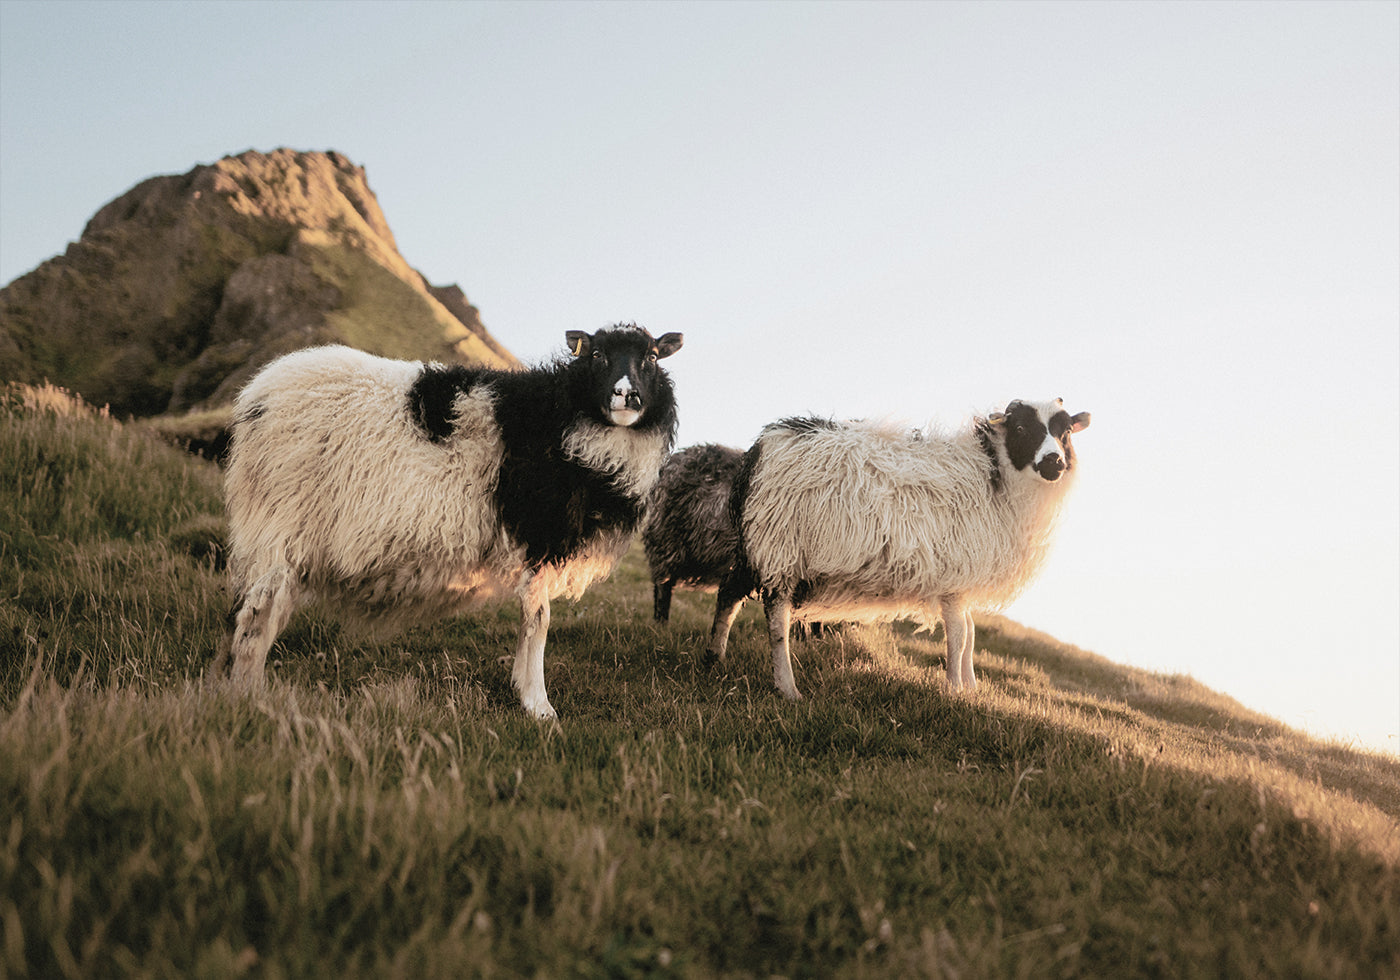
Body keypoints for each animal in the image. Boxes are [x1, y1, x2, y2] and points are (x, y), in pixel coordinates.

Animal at [207, 324, 683, 716]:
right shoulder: (540, 537)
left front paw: (525, 691)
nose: (627, 396)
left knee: (260, 611)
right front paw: (538, 705)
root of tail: (257, 400)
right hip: (280, 522)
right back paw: (248, 695)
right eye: (597, 354)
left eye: (652, 356)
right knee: (256, 616)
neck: (565, 421)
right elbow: (539, 619)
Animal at [705, 403, 1086, 700]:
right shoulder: (953, 574)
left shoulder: (959, 577)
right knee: (776, 621)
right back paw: (787, 687)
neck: (995, 479)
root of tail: (765, 443)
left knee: (728, 594)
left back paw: (714, 658)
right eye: (1021, 427)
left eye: (1065, 432)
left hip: (758, 545)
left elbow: (971, 633)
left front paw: (971, 687)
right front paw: (954, 690)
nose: (1053, 461)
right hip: (780, 547)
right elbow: (960, 635)